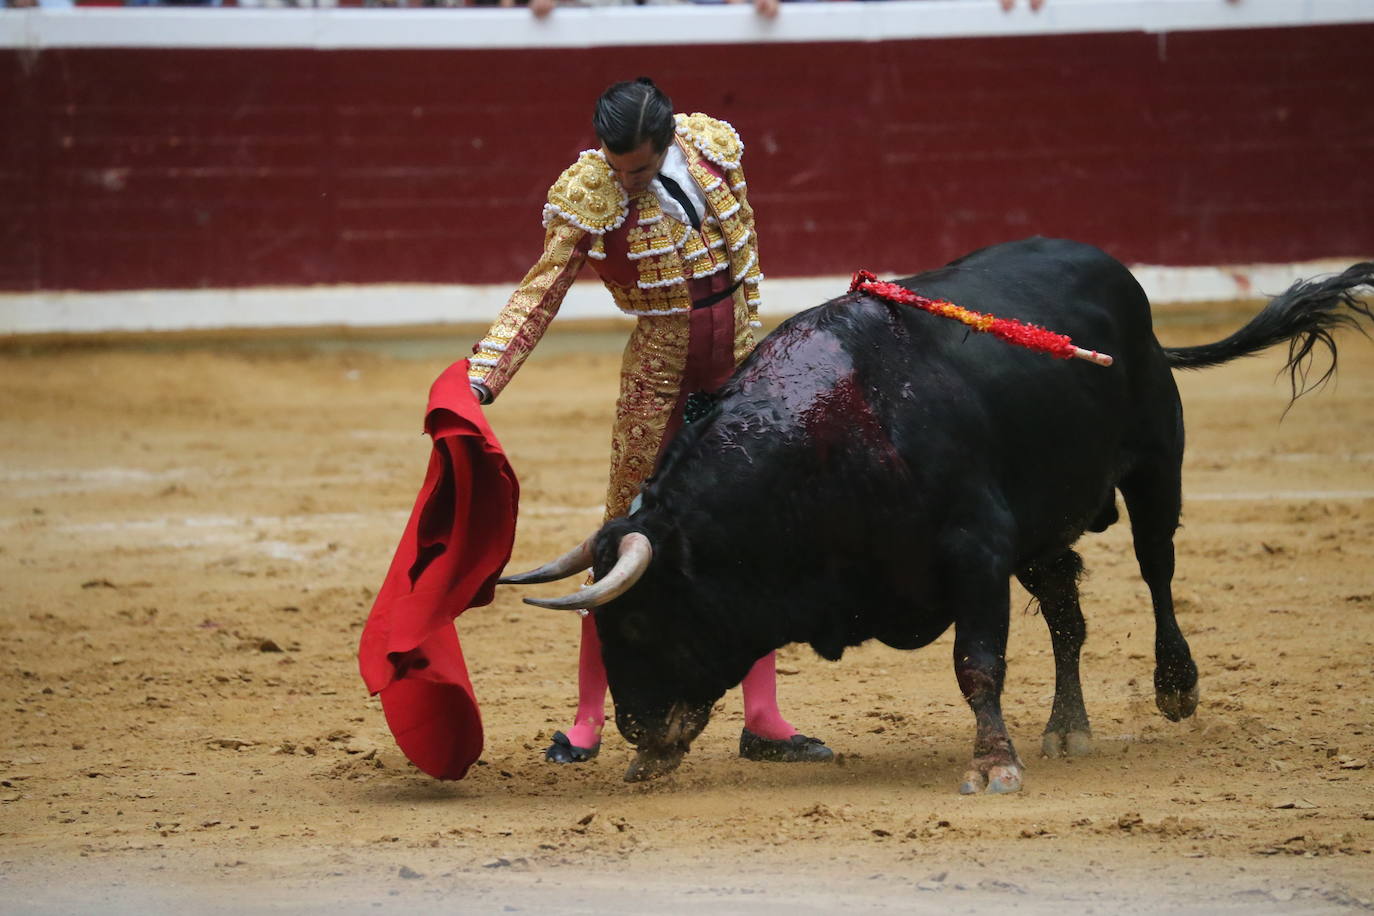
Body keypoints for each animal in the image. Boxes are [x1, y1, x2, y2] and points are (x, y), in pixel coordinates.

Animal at [508, 238, 1374, 796]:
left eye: (639, 622)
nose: (634, 729)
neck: (827, 439)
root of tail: (1116, 276)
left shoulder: (977, 554)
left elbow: (977, 663)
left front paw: (993, 764)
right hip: (1043, 530)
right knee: (1069, 618)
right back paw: (1067, 726)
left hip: (1158, 462)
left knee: (1158, 568)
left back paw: (1175, 688)